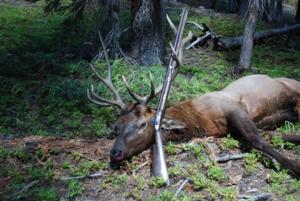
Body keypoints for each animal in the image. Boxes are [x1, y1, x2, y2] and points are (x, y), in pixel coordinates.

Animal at [88, 21, 300, 177]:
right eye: (118, 126)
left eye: (141, 124)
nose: (115, 153)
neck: (200, 120)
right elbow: (270, 136)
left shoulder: (235, 109)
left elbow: (258, 140)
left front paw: (295, 166)